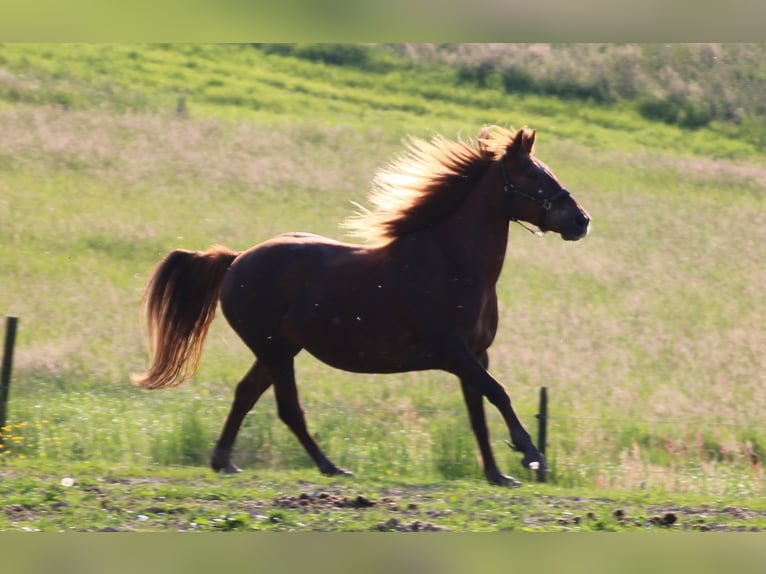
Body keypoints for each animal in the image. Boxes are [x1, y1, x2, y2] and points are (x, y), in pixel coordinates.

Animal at [132, 125, 592, 486]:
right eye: (532, 174)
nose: (581, 220)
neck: (452, 262)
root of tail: (236, 259)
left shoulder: (477, 354)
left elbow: (478, 412)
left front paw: (498, 474)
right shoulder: (454, 351)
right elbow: (498, 394)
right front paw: (532, 455)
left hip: (278, 350)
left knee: (246, 394)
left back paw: (225, 461)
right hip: (276, 351)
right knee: (288, 409)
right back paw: (329, 467)